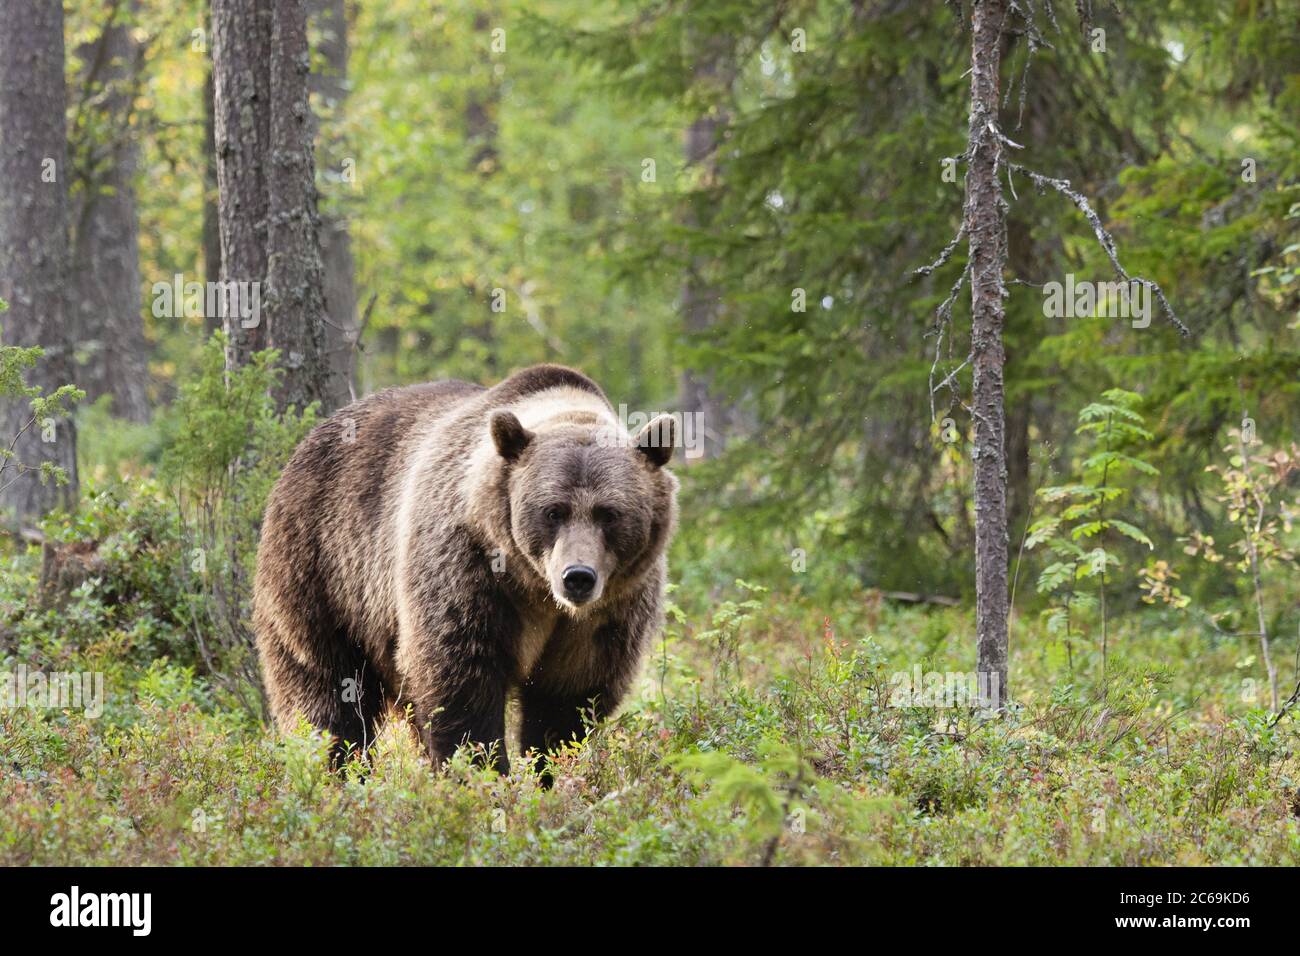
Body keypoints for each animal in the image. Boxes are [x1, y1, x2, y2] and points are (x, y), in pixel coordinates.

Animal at [252, 364, 678, 778]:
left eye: (609, 513)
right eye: (553, 511)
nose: (577, 577)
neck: (535, 589)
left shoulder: (611, 609)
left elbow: (567, 701)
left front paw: (550, 772)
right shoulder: (467, 566)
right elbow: (460, 679)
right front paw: (483, 774)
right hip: (324, 572)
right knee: (324, 690)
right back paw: (331, 769)